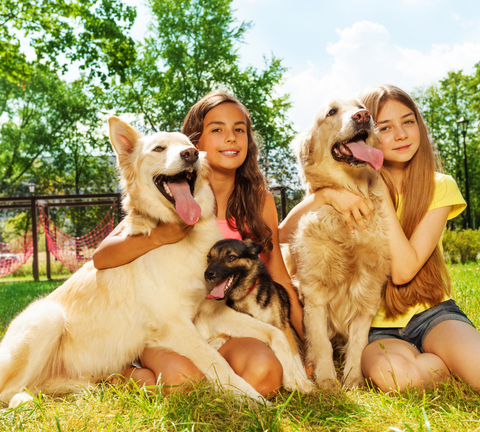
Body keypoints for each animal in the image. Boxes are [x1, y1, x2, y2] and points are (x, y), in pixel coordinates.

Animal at [288, 98, 390, 388]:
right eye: (331, 112)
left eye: (360, 105)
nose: (363, 116)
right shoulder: (313, 294)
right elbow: (321, 342)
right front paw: (327, 381)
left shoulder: (368, 294)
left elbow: (358, 343)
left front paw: (353, 380)